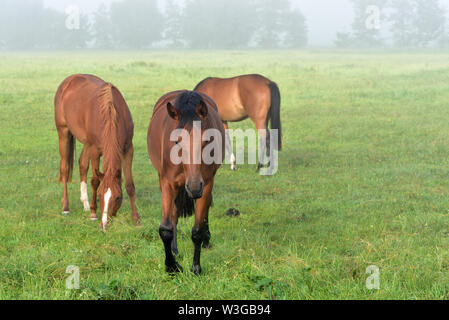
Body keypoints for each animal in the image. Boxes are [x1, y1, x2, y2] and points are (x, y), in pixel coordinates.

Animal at [55, 74, 141, 231]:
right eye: (100, 196)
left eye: (117, 197)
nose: (104, 224)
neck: (110, 114)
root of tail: (69, 80)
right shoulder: (95, 150)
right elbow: (95, 181)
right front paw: (94, 214)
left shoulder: (128, 149)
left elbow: (129, 185)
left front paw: (136, 219)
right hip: (63, 132)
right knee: (64, 168)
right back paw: (66, 207)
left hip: (86, 143)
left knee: (82, 164)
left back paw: (85, 203)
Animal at [147, 90, 224, 276]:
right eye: (176, 141)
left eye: (207, 141)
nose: (194, 187)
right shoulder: (167, 183)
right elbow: (165, 228)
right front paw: (171, 266)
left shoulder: (206, 184)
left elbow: (197, 230)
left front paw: (196, 268)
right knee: (174, 213)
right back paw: (175, 250)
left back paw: (207, 240)